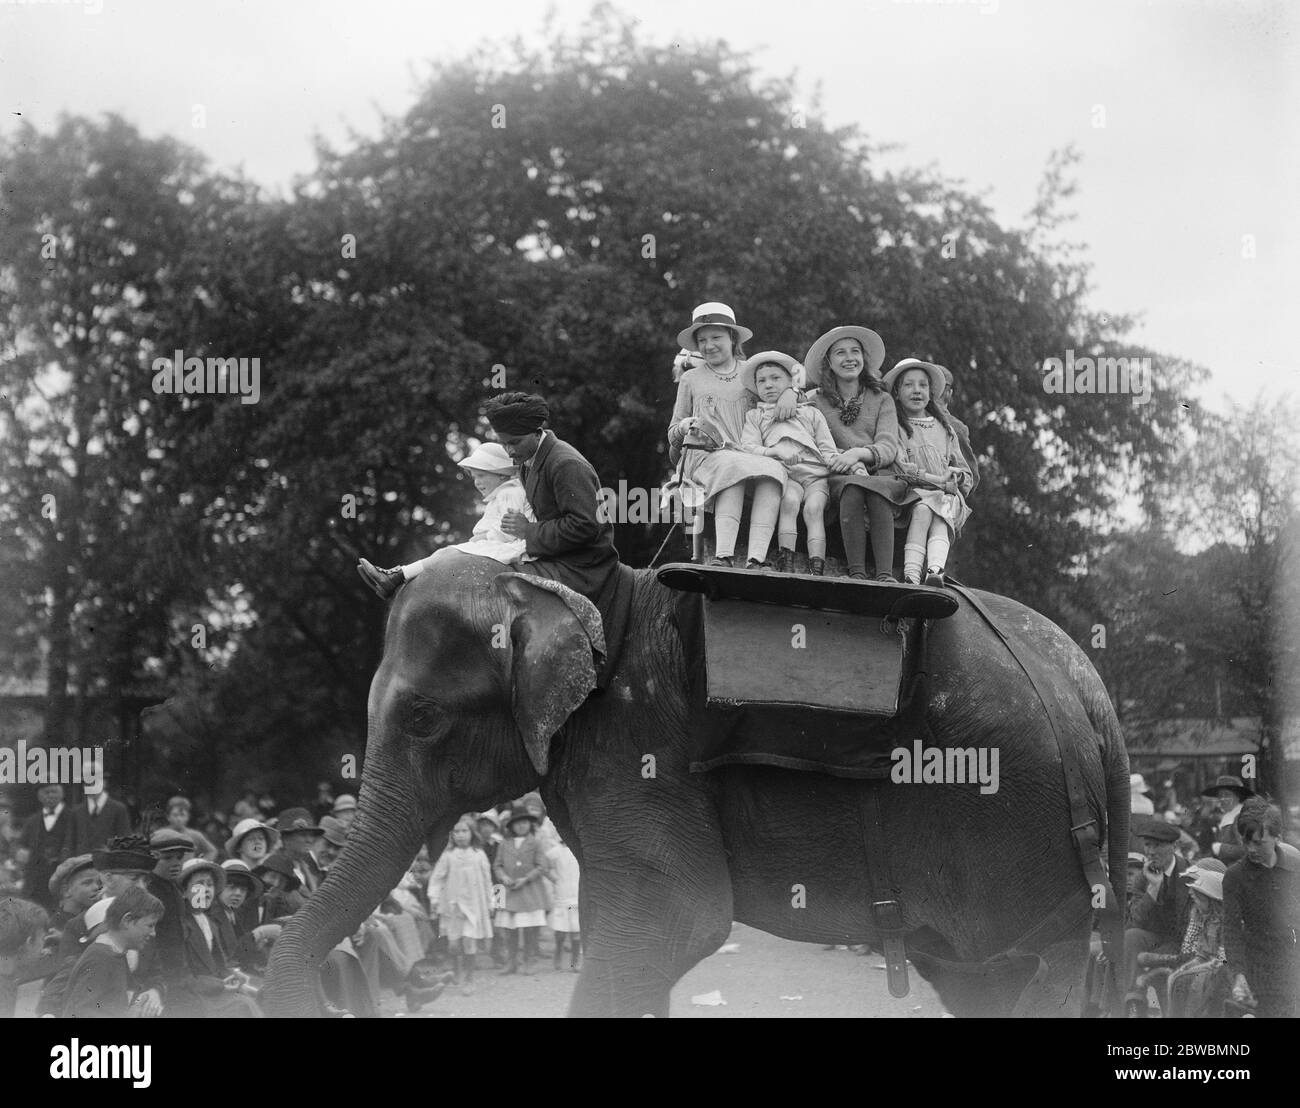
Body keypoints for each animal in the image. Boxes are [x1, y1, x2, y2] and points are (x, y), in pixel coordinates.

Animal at [263, 559, 1128, 1019]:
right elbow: (631, 930)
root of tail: (1091, 694)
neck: (571, 593)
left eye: (424, 718)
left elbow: (673, 922)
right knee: (983, 978)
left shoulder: (638, 750)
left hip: (1009, 821)